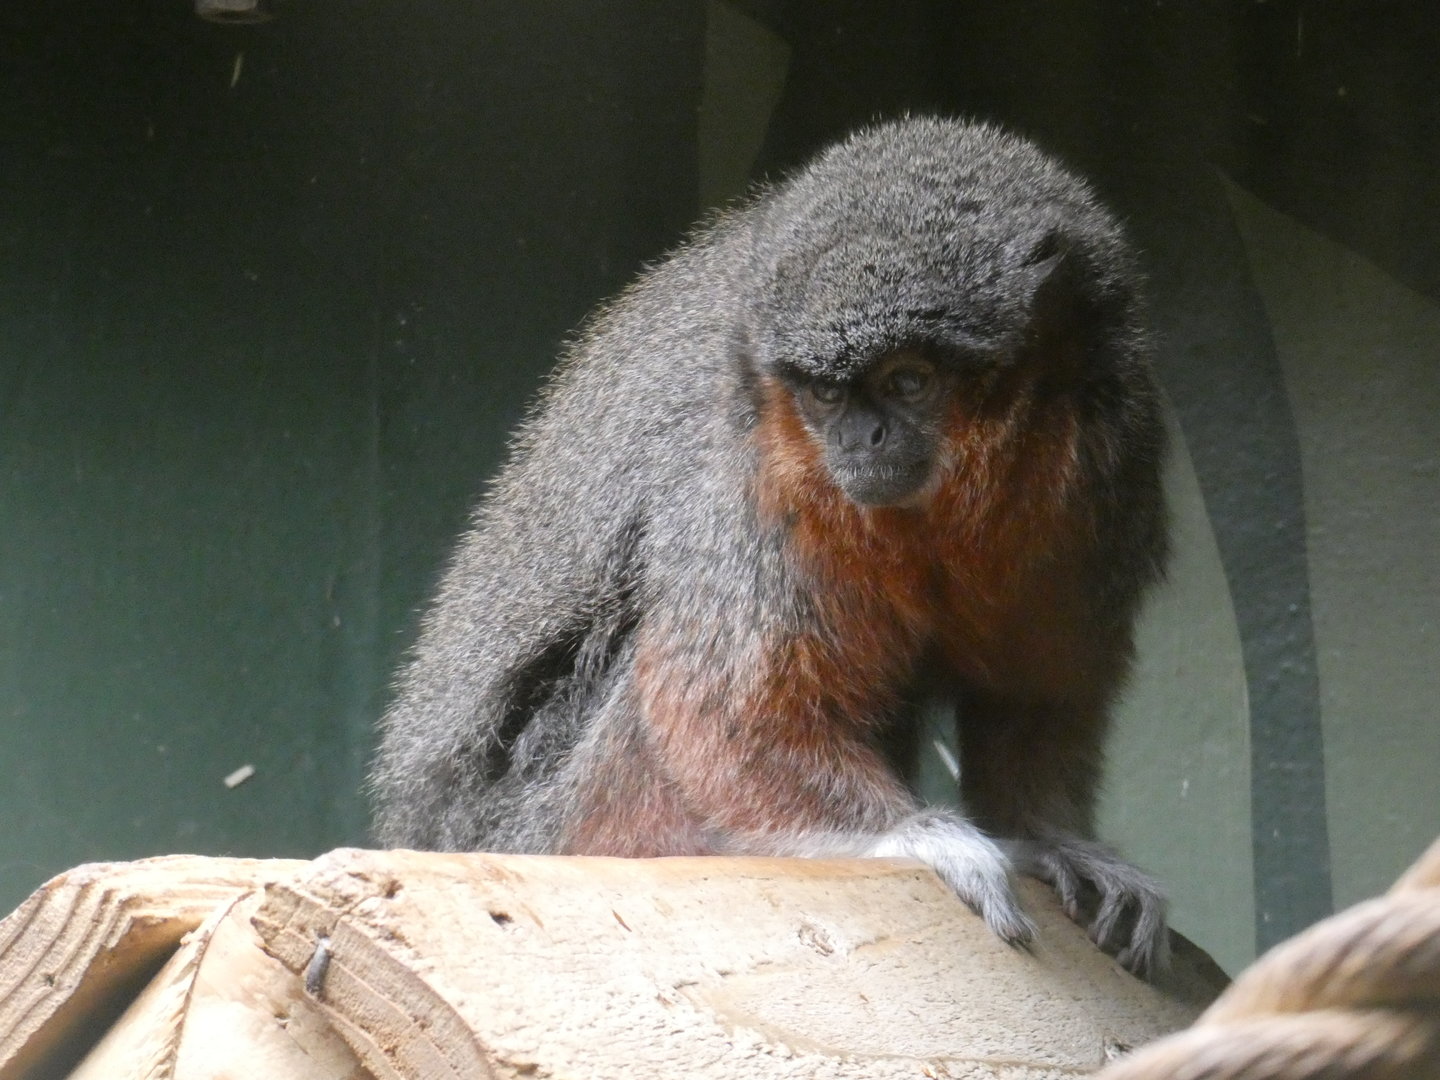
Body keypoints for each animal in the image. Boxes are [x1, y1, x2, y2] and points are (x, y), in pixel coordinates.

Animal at [371, 116, 1170, 975]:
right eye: (825, 394)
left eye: (908, 382)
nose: (860, 439)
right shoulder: (748, 476)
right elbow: (717, 702)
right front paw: (910, 837)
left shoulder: (1110, 463)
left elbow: (1037, 687)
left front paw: (1053, 840)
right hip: (547, 817)